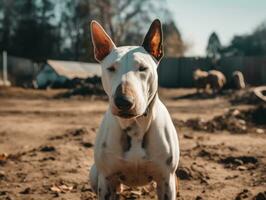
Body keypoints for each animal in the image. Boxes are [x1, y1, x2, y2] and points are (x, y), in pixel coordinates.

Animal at [89, 19, 179, 200]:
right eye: (111, 68)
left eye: (142, 68)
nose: (123, 101)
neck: (135, 126)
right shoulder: (106, 179)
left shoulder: (166, 180)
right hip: (94, 173)